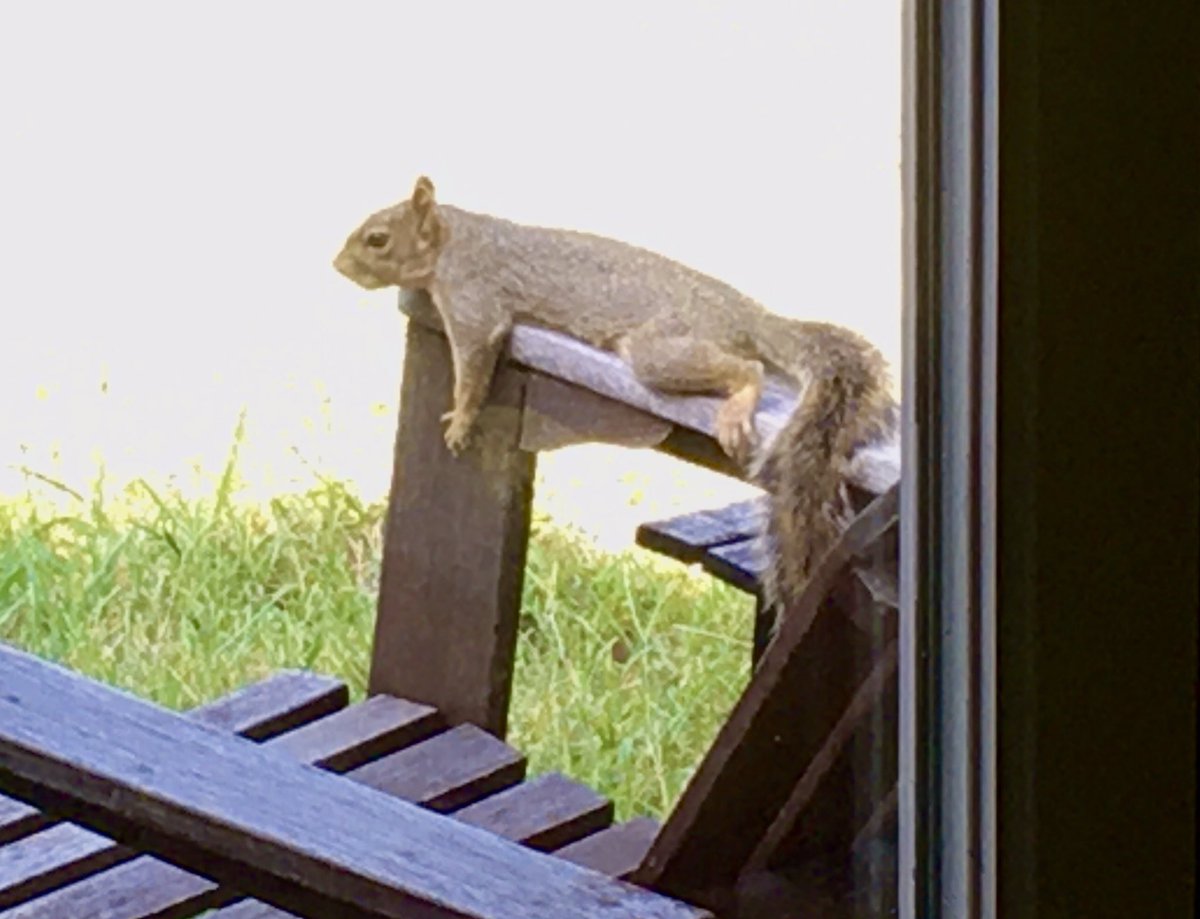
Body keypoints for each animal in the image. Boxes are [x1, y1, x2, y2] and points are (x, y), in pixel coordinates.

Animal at [333, 176, 898, 613]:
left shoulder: (474, 299)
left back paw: (740, 398)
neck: (454, 238)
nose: (337, 265)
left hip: (660, 350)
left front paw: (461, 420)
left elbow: (474, 364)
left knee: (750, 368)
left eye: (378, 239)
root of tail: (750, 316)